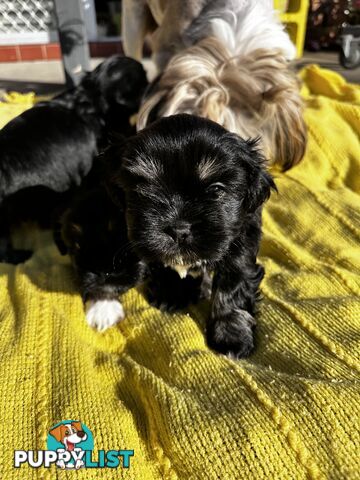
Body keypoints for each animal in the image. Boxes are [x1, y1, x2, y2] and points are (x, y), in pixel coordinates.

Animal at [58, 114, 276, 358]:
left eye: (216, 190)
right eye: (145, 189)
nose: (179, 229)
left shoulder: (241, 243)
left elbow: (232, 289)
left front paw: (231, 336)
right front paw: (172, 293)